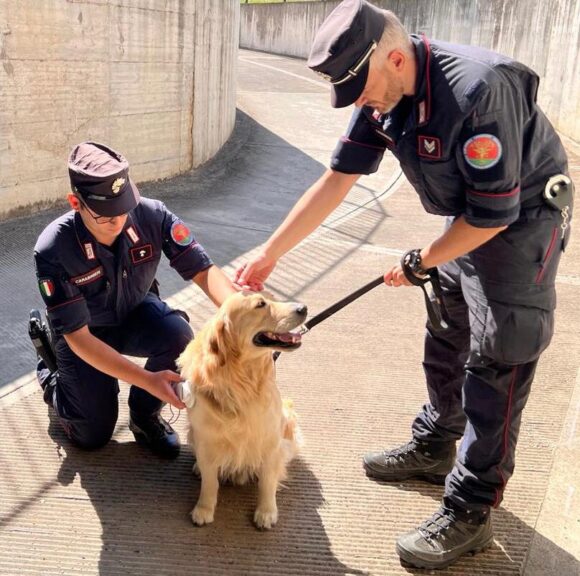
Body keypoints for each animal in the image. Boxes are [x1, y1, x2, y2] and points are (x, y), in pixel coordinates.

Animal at [178, 290, 308, 528]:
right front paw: (204, 508)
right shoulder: (206, 440)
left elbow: (267, 481)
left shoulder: (269, 441)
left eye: (272, 297)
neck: (241, 380)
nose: (303, 308)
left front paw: (266, 512)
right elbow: (210, 483)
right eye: (260, 304)